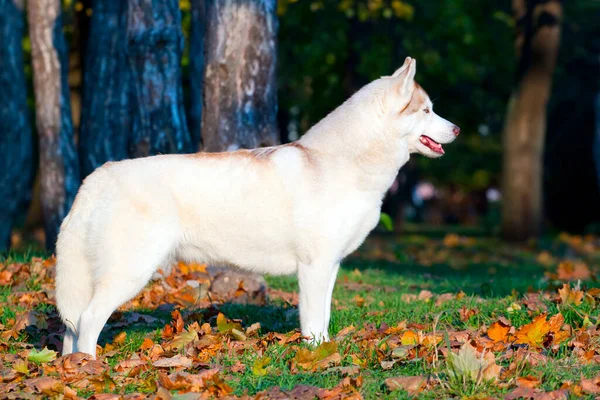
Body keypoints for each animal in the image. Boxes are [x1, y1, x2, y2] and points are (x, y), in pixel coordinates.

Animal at [56, 57, 460, 360]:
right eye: (427, 110)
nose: (456, 129)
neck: (343, 163)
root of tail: (97, 177)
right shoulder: (313, 267)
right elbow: (312, 321)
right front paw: (315, 356)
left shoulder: (330, 266)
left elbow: (325, 317)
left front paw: (326, 350)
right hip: (129, 271)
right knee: (88, 320)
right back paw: (89, 368)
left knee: (70, 326)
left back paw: (69, 367)